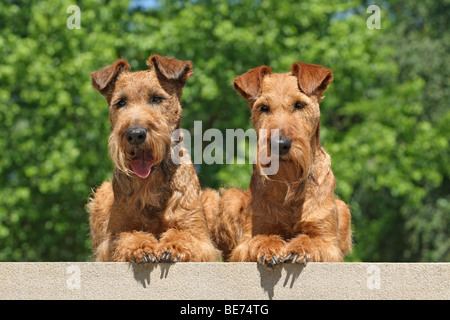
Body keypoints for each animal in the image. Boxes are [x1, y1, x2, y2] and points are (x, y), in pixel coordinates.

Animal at [87, 53, 219, 262]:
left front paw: (172, 247)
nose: (135, 134)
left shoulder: (200, 237)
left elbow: (183, 236)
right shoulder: (113, 237)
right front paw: (141, 247)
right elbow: (128, 236)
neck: (151, 184)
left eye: (157, 98)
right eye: (121, 102)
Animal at [209, 62, 354, 264]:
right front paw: (269, 246)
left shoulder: (327, 242)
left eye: (299, 104)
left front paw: (299, 247)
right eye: (263, 107)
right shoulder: (247, 240)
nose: (280, 144)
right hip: (231, 197)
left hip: (343, 208)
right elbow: (259, 240)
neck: (289, 184)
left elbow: (312, 241)